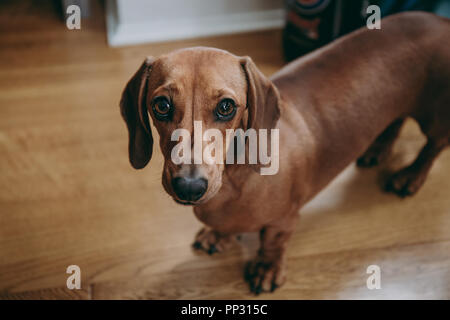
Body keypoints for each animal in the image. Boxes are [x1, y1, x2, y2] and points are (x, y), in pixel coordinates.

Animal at [120, 11, 450, 292]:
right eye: (161, 105)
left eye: (226, 107)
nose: (188, 187)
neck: (233, 178)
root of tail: (440, 20)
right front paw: (217, 235)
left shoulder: (284, 220)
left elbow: (273, 244)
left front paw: (266, 270)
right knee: (396, 120)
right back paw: (378, 150)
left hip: (436, 119)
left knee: (433, 147)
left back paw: (410, 177)